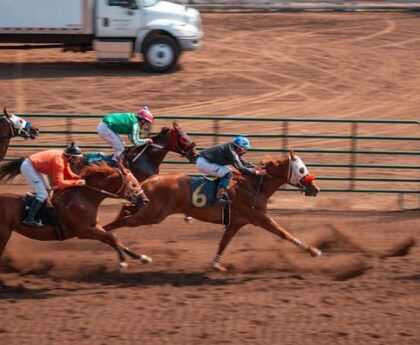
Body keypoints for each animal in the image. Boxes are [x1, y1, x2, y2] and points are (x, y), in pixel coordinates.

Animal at [0, 160, 151, 270]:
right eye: (133, 184)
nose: (145, 201)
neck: (84, 198)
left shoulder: (93, 226)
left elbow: (112, 239)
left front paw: (142, 258)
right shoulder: (83, 231)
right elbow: (111, 237)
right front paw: (123, 263)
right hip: (4, 234)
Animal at [104, 150, 322, 272]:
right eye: (301, 170)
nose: (315, 188)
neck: (254, 185)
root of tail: (148, 181)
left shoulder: (235, 223)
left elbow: (223, 243)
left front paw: (216, 265)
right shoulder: (260, 218)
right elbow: (284, 233)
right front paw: (313, 250)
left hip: (148, 209)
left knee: (125, 209)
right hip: (152, 215)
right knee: (119, 222)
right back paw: (108, 235)